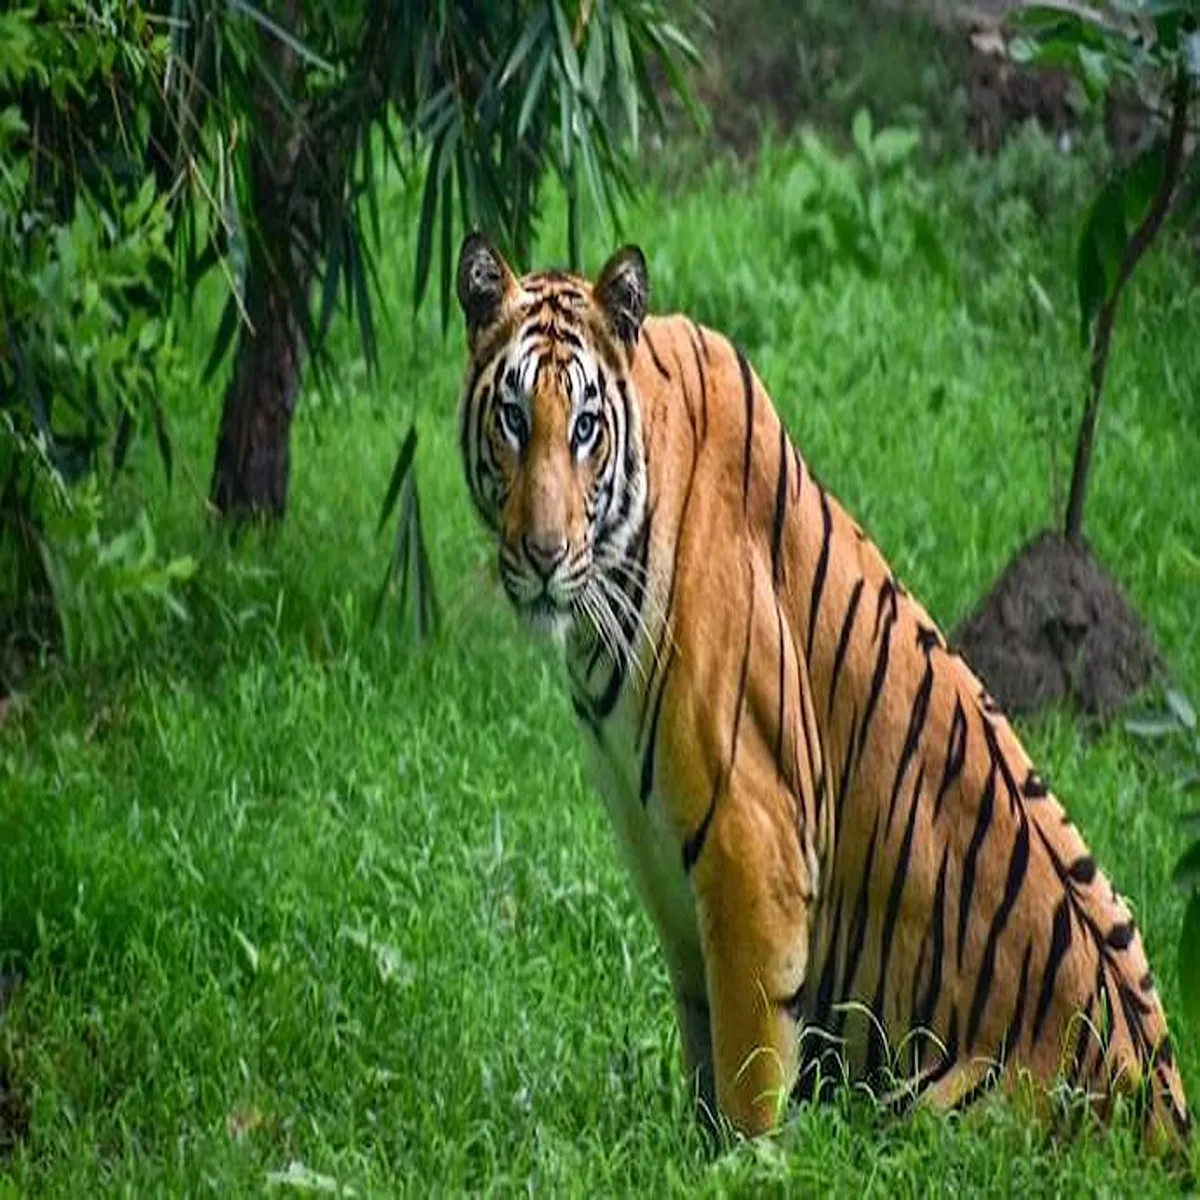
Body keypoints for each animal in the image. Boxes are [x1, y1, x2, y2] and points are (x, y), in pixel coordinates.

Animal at [452, 231, 1191, 1154]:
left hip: (927, 1102)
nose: (545, 555)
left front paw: (741, 1161)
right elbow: (702, 1040)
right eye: (515, 418)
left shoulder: (752, 851)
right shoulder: (664, 869)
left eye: (585, 427)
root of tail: (1165, 1125)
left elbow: (747, 1063)